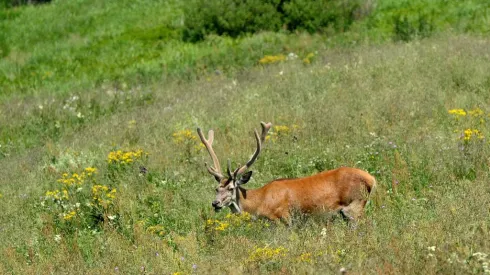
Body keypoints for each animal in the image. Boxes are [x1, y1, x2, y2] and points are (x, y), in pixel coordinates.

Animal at [195, 122, 376, 223]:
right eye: (216, 188)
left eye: (231, 188)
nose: (215, 203)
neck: (259, 203)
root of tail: (372, 179)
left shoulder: (283, 218)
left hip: (354, 206)